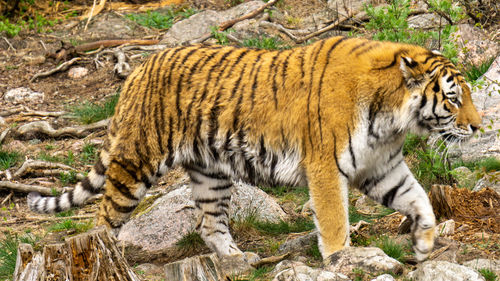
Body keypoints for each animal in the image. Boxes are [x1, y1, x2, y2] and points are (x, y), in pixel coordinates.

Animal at [26, 36, 480, 262]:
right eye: (454, 99)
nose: (478, 126)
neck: (391, 119)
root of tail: (138, 68)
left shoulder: (381, 167)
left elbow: (418, 198)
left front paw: (425, 241)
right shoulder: (325, 167)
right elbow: (334, 220)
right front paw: (340, 260)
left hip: (211, 174)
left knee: (209, 224)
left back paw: (236, 260)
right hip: (136, 163)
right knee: (104, 220)